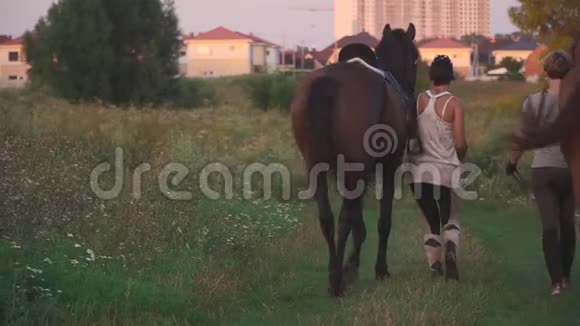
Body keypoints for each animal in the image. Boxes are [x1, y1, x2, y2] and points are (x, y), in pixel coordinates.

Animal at [288, 24, 416, 296]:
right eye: (415, 58)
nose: (412, 97)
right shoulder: (387, 167)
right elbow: (382, 220)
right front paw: (378, 269)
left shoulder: (352, 172)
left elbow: (357, 218)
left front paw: (351, 265)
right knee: (344, 217)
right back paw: (338, 280)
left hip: (317, 166)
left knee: (327, 217)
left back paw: (334, 274)